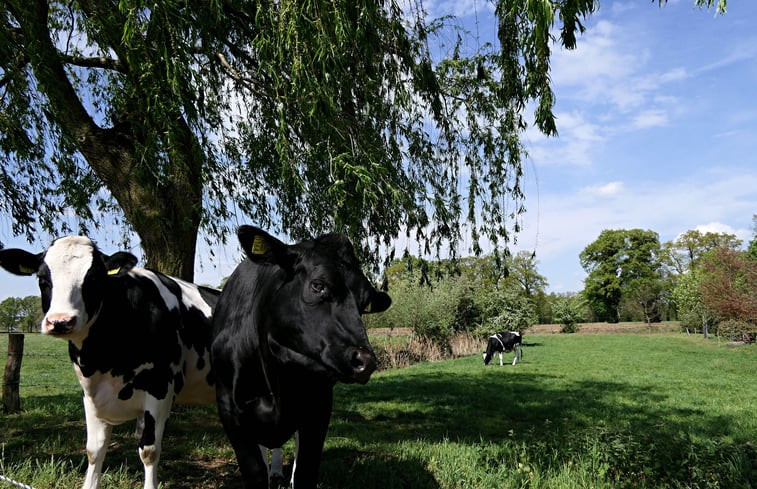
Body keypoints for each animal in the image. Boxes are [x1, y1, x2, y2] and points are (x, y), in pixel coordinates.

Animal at [0, 234, 219, 486]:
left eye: (94, 278)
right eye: (42, 278)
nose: (60, 321)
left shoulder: (161, 388)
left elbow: (149, 450)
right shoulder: (90, 393)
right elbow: (94, 450)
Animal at [211, 226, 392, 488]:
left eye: (364, 303)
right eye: (318, 286)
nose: (365, 361)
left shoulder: (318, 408)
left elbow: (305, 471)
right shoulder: (230, 412)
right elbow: (256, 471)